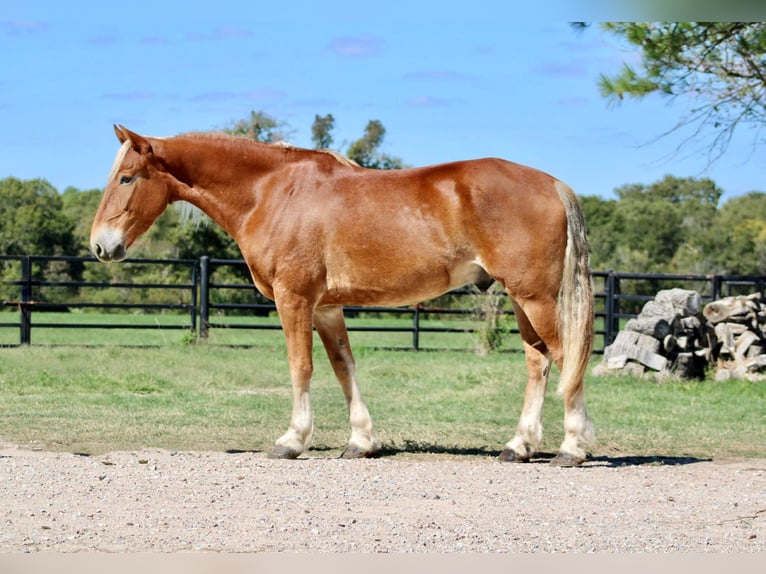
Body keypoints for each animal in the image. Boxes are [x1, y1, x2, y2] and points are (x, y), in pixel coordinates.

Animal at [88, 126, 592, 468]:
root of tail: (553, 184)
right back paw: (519, 446)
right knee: (538, 361)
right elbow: (343, 367)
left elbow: (301, 367)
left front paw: (292, 440)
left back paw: (571, 448)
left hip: (535, 298)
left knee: (565, 358)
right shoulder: (327, 307)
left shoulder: (294, 299)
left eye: (128, 178)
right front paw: (360, 441)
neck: (273, 192)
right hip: (522, 300)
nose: (100, 246)